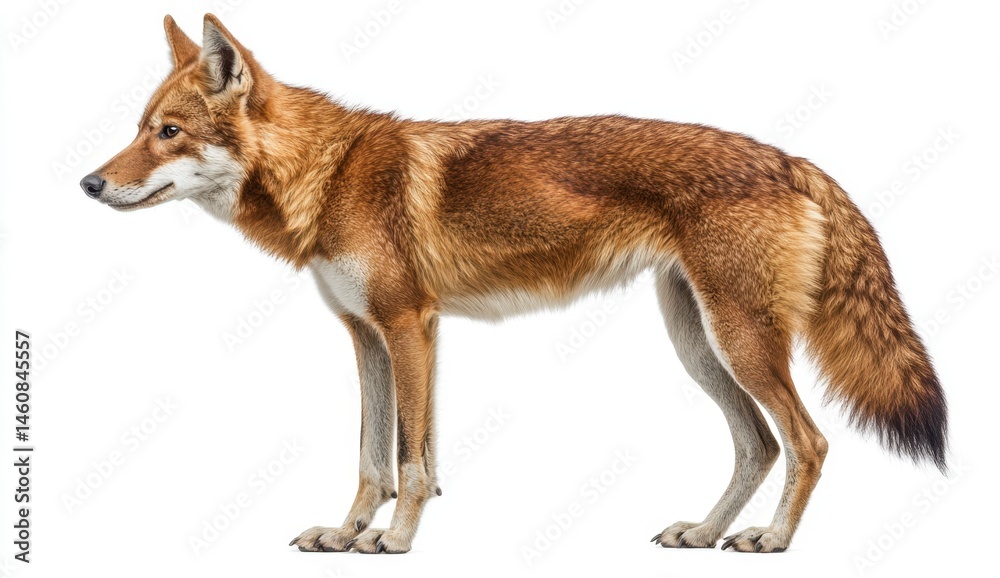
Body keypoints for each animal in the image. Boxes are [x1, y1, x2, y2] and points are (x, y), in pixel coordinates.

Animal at [81, 14, 947, 554]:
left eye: (168, 133)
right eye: (138, 128)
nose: (88, 184)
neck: (328, 176)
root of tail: (790, 158)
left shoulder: (410, 327)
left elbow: (411, 462)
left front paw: (394, 540)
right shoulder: (368, 337)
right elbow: (373, 458)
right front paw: (348, 532)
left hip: (739, 344)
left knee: (808, 441)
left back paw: (771, 540)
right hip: (701, 347)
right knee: (759, 445)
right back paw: (704, 535)